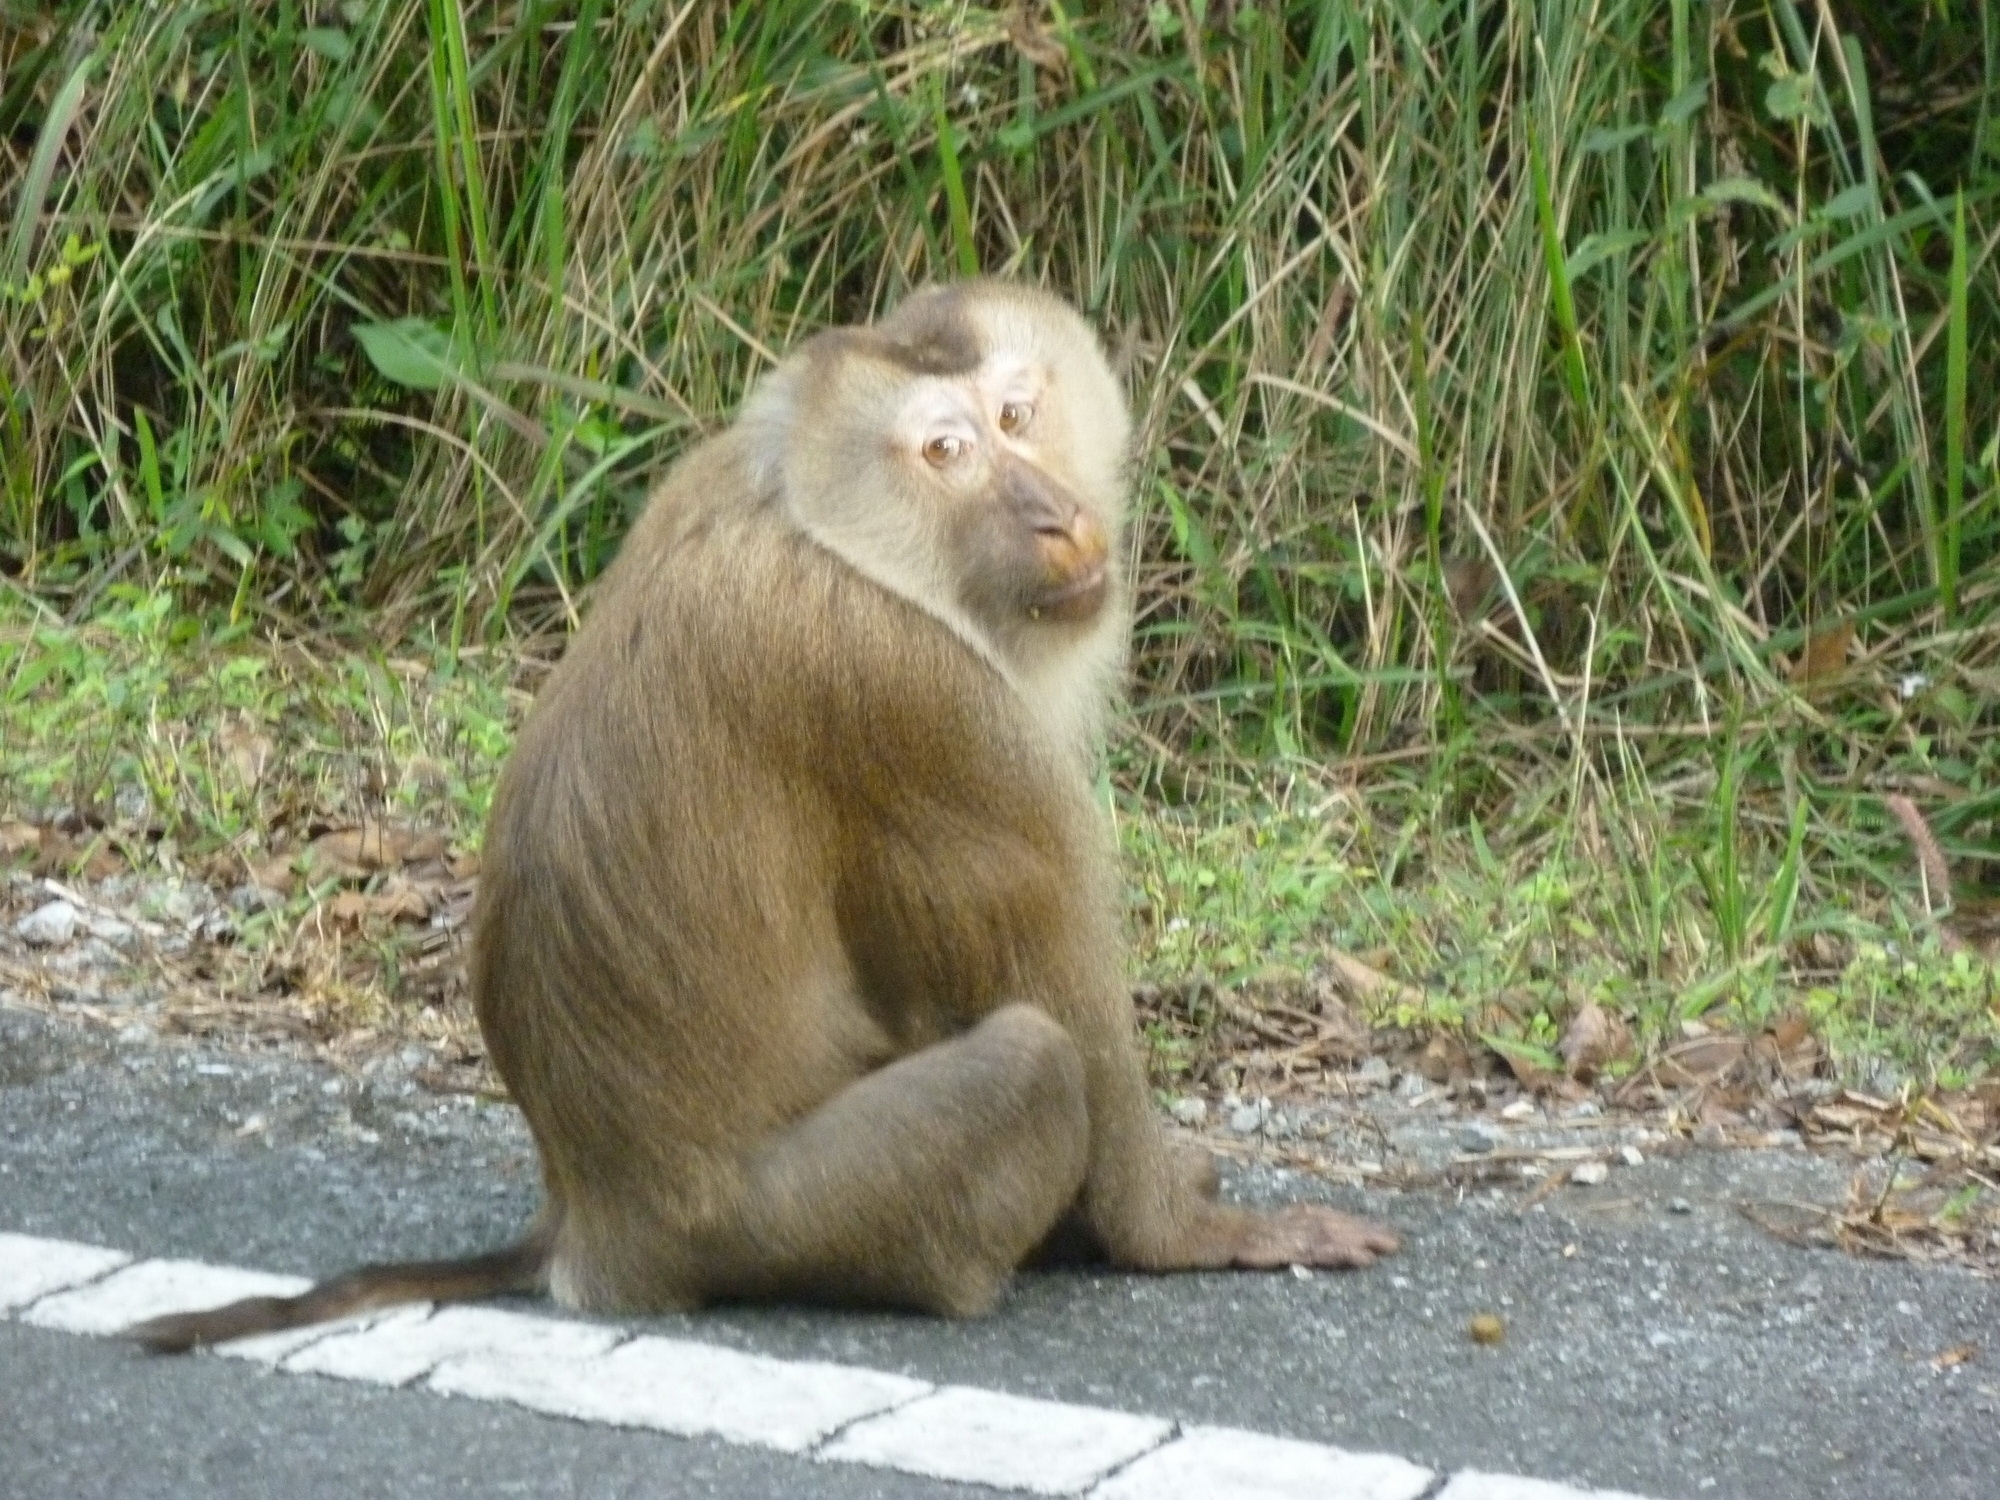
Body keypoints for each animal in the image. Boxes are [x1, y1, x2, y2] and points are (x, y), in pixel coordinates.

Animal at [133, 280, 1400, 1352]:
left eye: (1016, 413)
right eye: (945, 452)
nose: (1053, 514)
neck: (825, 520)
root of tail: (591, 1225)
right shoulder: (917, 697)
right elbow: (1055, 980)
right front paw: (1180, 1234)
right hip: (779, 1217)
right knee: (1032, 1063)